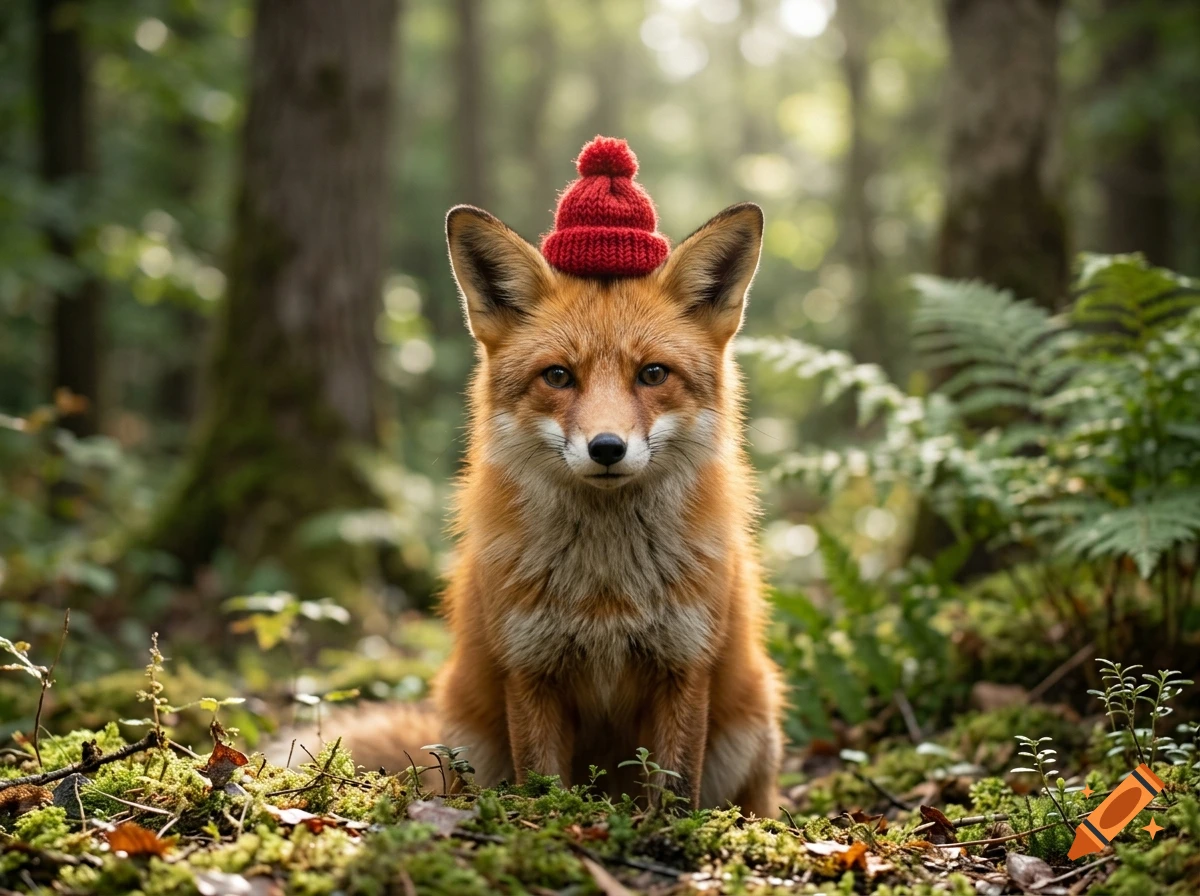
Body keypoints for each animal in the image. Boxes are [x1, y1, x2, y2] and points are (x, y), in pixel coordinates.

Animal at [322, 197, 785, 817]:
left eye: (653, 374)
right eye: (559, 376)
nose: (607, 448)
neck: (607, 590)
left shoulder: (686, 664)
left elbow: (674, 790)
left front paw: (668, 834)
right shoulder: (529, 667)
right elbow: (542, 784)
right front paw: (549, 825)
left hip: (752, 731)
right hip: (469, 739)